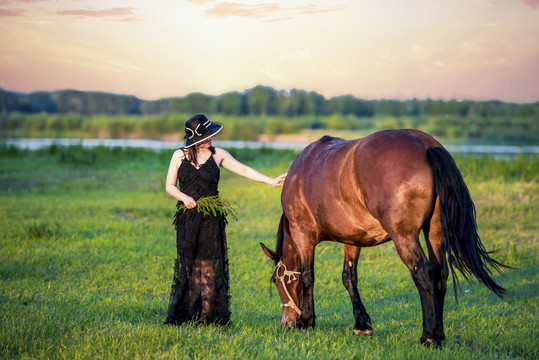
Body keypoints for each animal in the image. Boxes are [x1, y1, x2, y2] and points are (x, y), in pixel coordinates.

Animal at [260, 129, 508, 346]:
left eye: (275, 280)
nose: (286, 323)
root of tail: (426, 146)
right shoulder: (352, 240)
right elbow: (349, 277)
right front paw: (361, 324)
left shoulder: (303, 236)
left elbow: (307, 277)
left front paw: (307, 321)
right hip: (435, 234)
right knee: (440, 274)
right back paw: (439, 332)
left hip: (404, 237)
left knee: (423, 273)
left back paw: (429, 336)